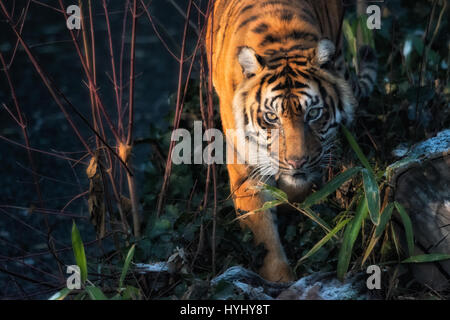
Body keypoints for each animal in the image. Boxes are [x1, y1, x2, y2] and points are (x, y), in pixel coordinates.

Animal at [207, 0, 376, 282]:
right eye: (271, 117)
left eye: (314, 113)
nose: (297, 162)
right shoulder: (246, 166)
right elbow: (262, 234)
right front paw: (280, 279)